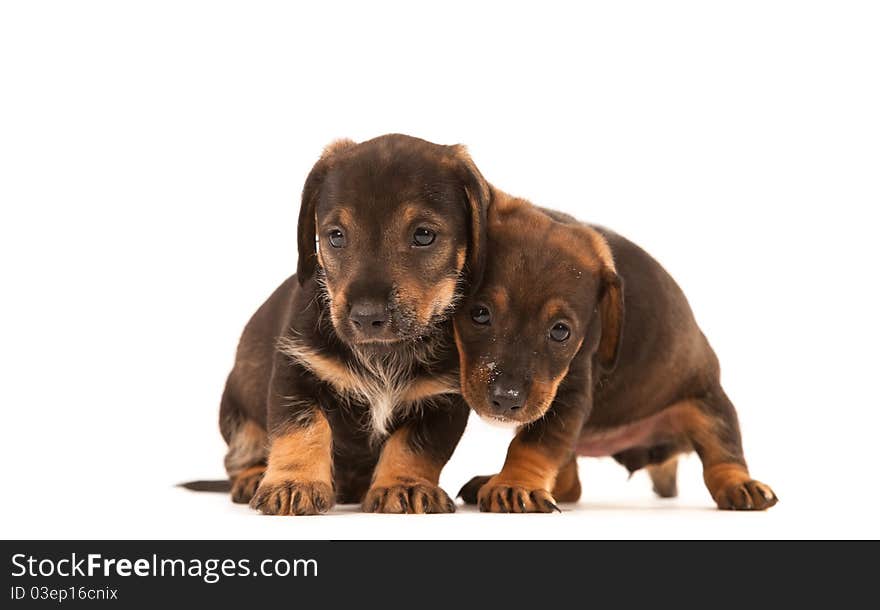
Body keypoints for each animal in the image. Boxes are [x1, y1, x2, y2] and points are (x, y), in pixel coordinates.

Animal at [217, 134, 484, 512]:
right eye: (336, 235)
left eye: (424, 235)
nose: (367, 317)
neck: (384, 354)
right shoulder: (296, 372)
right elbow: (303, 430)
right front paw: (293, 483)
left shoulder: (441, 400)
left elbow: (414, 448)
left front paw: (404, 485)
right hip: (236, 414)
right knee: (238, 458)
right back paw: (253, 477)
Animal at [454, 189, 776, 508]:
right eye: (479, 314)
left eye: (560, 331)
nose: (505, 400)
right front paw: (510, 483)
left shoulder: (569, 395)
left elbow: (533, 445)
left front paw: (514, 484)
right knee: (570, 484)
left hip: (708, 406)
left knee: (723, 452)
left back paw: (742, 486)